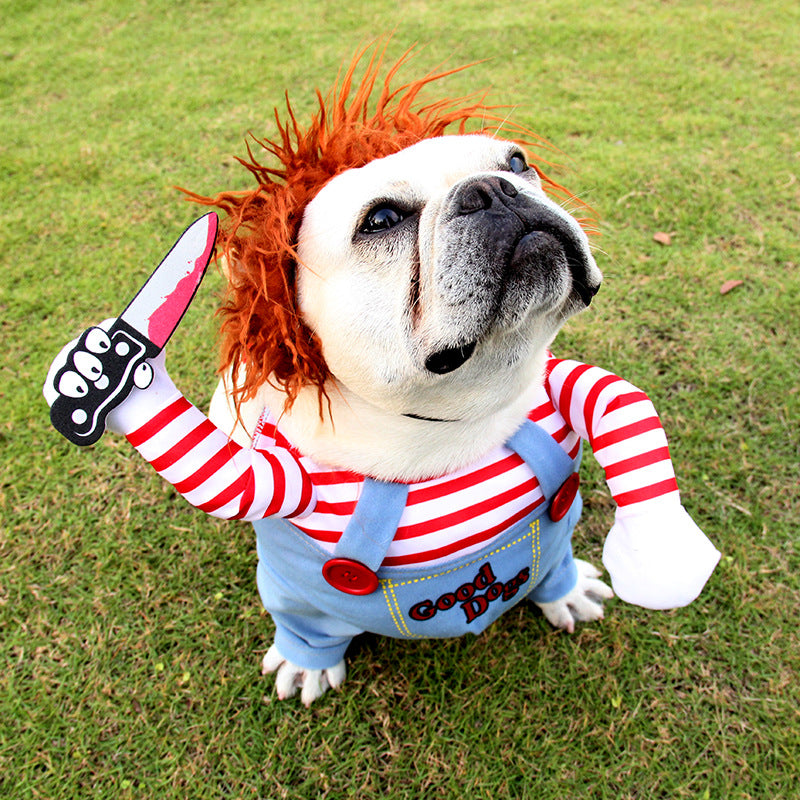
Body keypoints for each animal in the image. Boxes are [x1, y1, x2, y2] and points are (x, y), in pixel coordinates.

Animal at [45, 47, 720, 704]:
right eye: (382, 219)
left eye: (518, 161)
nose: (493, 189)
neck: (455, 420)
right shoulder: (288, 499)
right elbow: (236, 496)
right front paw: (96, 370)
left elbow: (616, 412)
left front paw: (626, 570)